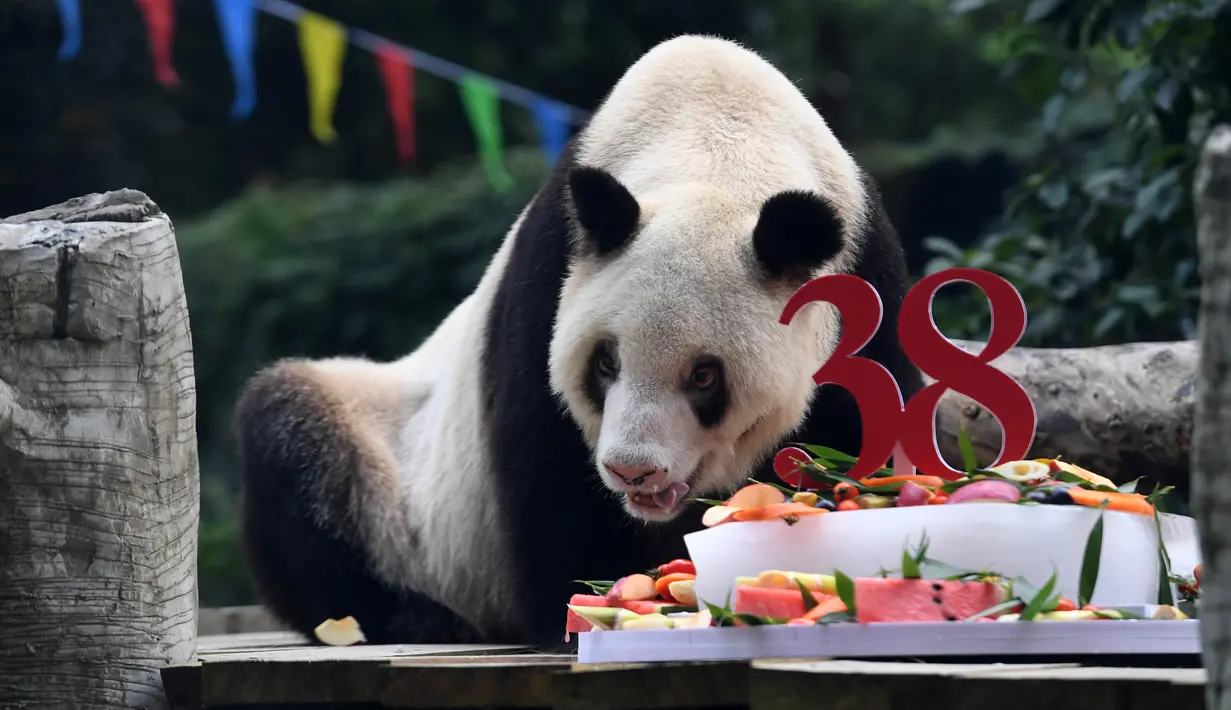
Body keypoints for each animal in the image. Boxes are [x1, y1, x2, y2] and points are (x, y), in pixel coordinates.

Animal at [233, 34, 924, 650]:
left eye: (704, 375)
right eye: (606, 362)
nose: (632, 469)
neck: (717, 144)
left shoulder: (863, 275)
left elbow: (865, 425)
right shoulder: (553, 272)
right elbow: (548, 461)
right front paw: (581, 603)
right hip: (393, 479)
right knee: (293, 443)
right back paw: (419, 618)